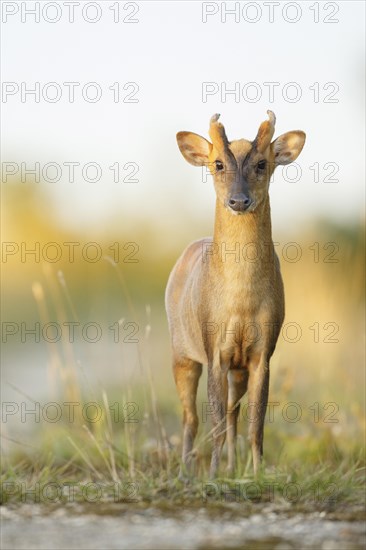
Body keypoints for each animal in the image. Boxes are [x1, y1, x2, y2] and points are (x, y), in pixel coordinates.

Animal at [164, 112, 304, 478]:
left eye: (262, 163)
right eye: (218, 164)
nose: (238, 201)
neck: (241, 301)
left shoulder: (261, 352)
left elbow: (255, 423)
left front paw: (255, 473)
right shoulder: (214, 348)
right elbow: (212, 421)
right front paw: (212, 476)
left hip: (236, 368)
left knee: (232, 413)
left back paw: (229, 466)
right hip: (182, 351)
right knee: (191, 416)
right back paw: (187, 471)